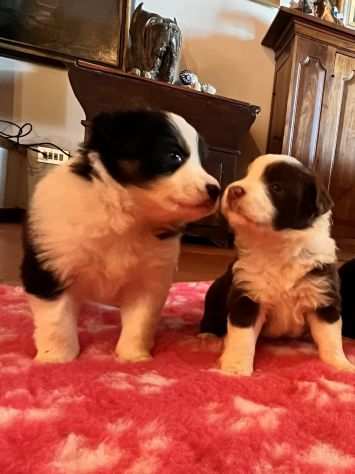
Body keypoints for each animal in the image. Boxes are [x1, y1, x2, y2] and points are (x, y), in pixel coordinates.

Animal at [22, 110, 220, 362]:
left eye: (203, 162)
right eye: (173, 155)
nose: (216, 190)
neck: (125, 216)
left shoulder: (150, 279)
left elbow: (140, 321)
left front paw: (133, 357)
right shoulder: (52, 267)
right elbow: (56, 320)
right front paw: (56, 359)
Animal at [202, 154, 354, 376]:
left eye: (276, 187)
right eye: (246, 176)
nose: (233, 190)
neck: (276, 245)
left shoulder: (322, 296)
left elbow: (331, 337)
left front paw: (341, 365)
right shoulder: (247, 295)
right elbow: (242, 336)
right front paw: (235, 369)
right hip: (215, 291)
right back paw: (208, 339)